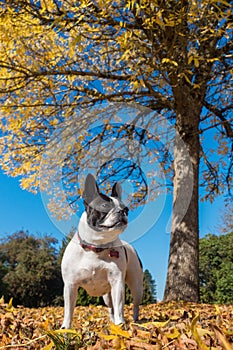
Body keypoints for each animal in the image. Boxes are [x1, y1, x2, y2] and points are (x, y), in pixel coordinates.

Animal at [61, 175, 143, 328]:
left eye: (126, 209)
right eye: (105, 206)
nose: (122, 212)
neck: (96, 247)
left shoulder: (117, 281)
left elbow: (119, 306)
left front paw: (120, 324)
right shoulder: (70, 285)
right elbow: (68, 310)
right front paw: (65, 329)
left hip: (136, 285)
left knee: (135, 305)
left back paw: (134, 321)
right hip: (107, 295)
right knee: (110, 307)